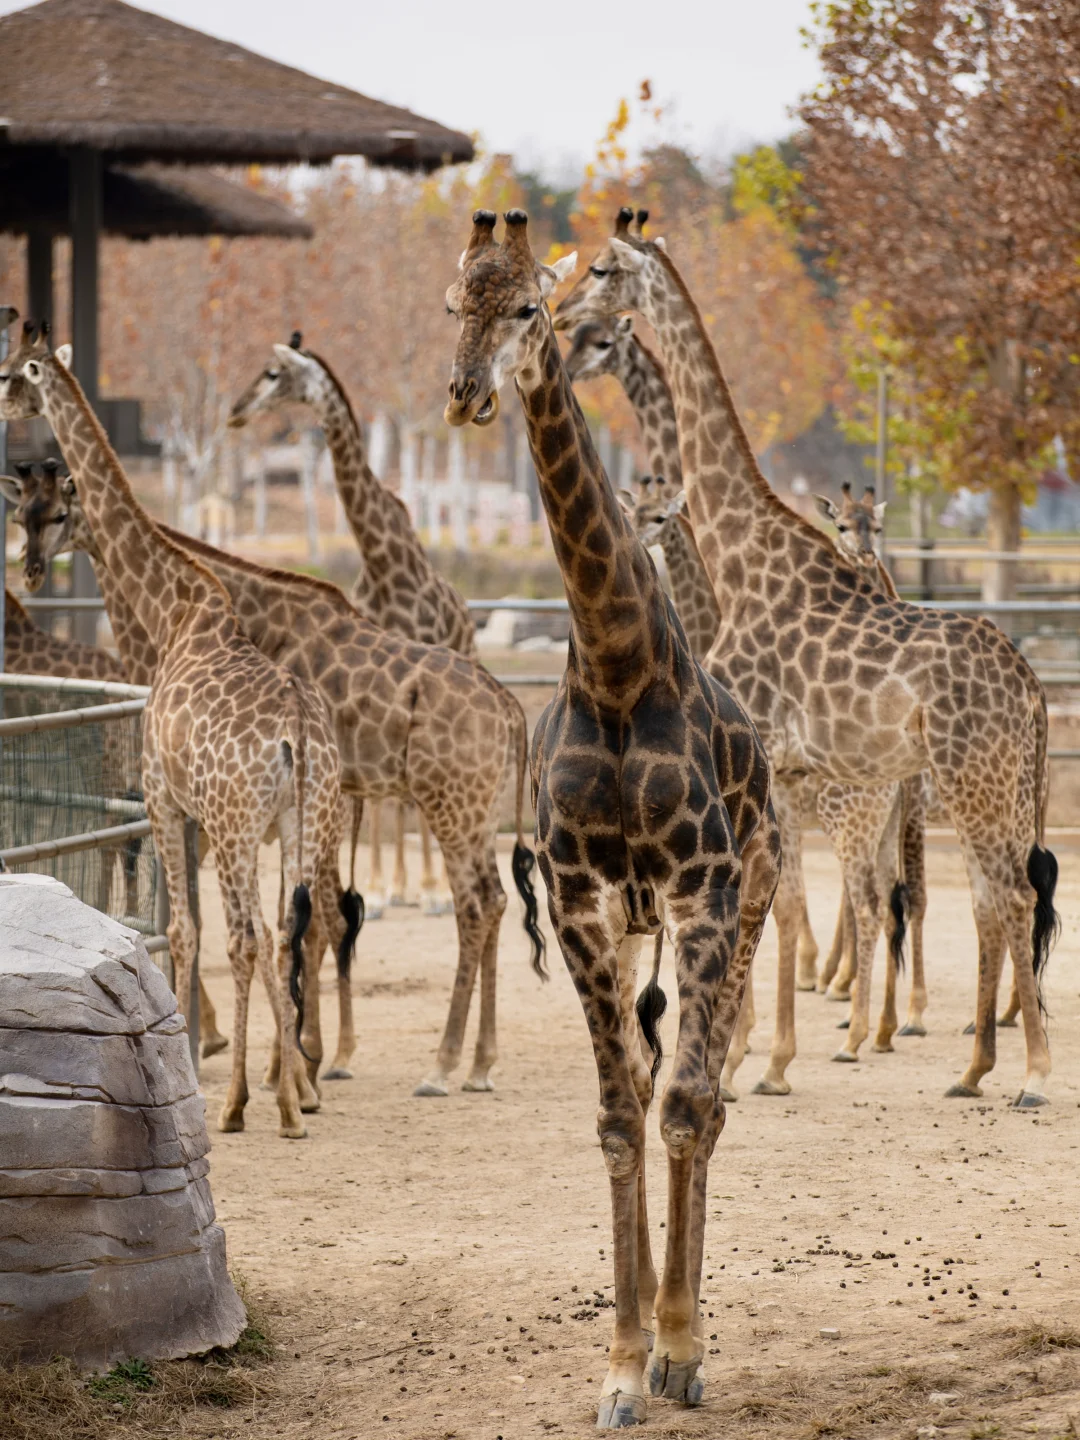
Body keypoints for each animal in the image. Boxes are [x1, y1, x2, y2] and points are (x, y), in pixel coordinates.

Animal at [0, 331, 344, 1140]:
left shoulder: (163, 799)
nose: (30, 569)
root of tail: (296, 736)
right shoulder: (190, 813)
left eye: (17, 373)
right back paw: (297, 1085)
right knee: (295, 925)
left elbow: (180, 929)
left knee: (252, 935)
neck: (175, 610)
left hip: (239, 822)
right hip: (303, 819)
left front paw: (198, 1059)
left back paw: (259, 1101)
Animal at [6, 455, 550, 1094]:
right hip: (470, 808)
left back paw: (440, 1063)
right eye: (22, 510)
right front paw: (299, 1058)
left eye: (57, 513)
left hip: (448, 803)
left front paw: (278, 1059)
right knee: (489, 899)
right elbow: (306, 921)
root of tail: (511, 705)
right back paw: (477, 1062)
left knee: (472, 904)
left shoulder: (196, 801)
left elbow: (259, 923)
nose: (31, 567)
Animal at [230, 334, 475, 910]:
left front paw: (424, 888)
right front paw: (387, 888)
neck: (384, 563)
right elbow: (377, 795)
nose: (236, 411)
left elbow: (402, 796)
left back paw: (433, 886)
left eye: (273, 373)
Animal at [443, 210, 783, 1428]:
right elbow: (616, 1116)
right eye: (454, 302)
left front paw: (676, 1353)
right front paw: (621, 1368)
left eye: (526, 307)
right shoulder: (587, 904)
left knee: (709, 1096)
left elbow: (683, 1105)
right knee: (648, 1081)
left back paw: (693, 1344)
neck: (617, 659)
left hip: (750, 904)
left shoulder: (704, 893)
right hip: (639, 930)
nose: (465, 393)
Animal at [552, 208, 1059, 1105]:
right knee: (987, 898)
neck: (738, 555)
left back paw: (1025, 1072)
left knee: (1004, 896)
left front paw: (751, 1062)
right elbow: (784, 909)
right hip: (990, 785)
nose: (563, 315)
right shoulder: (780, 774)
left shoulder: (757, 771)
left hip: (973, 779)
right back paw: (971, 1067)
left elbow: (774, 910)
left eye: (606, 273)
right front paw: (763, 1057)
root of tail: (1032, 684)